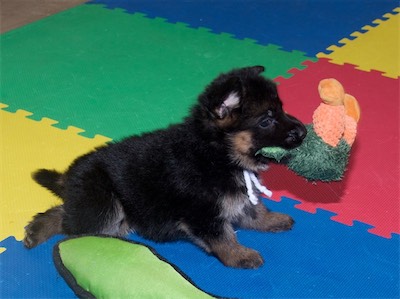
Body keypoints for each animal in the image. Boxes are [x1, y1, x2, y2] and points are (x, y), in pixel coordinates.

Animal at [24, 66, 306, 270]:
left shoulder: (237, 196)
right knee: (67, 218)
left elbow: (254, 209)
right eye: (266, 120)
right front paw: (239, 255)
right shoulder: (202, 213)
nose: (303, 132)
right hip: (105, 206)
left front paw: (271, 219)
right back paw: (38, 229)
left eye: (281, 110)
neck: (214, 153)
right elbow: (223, 236)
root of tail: (70, 178)